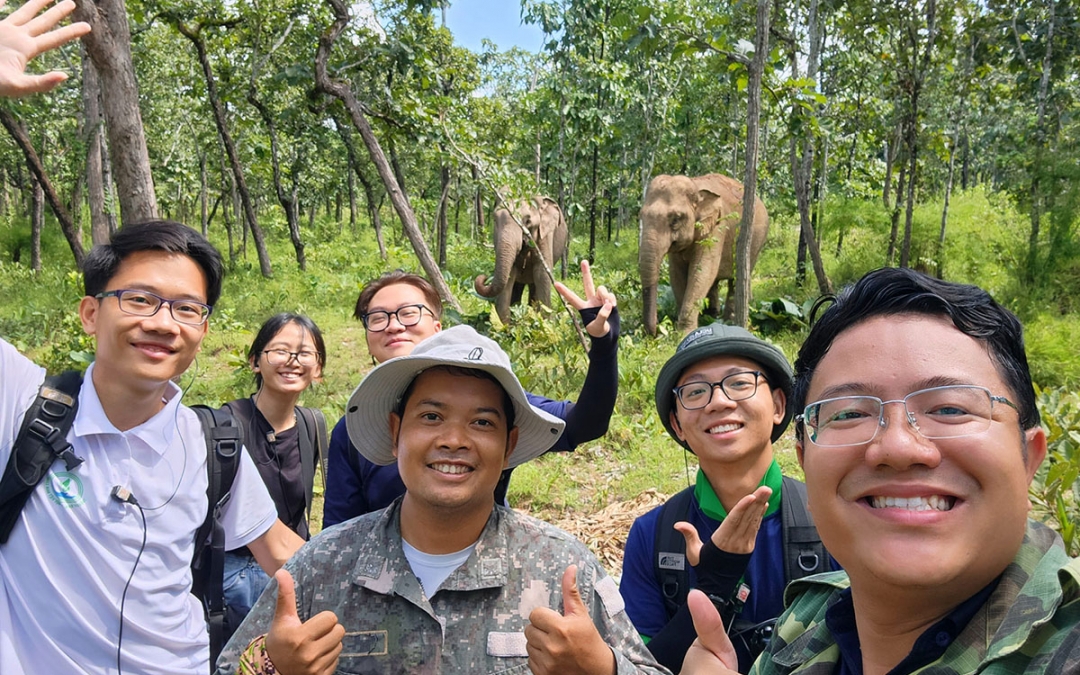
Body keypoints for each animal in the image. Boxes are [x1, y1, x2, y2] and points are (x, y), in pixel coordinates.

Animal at [475, 194, 570, 324]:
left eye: (528, 221)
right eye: (495, 219)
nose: (483, 278)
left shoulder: (544, 237)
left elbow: (542, 274)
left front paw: (545, 323)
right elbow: (510, 274)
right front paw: (503, 326)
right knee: (518, 286)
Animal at [635, 170, 773, 334]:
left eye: (675, 219)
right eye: (641, 216)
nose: (654, 332)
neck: (695, 185)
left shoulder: (717, 227)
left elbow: (702, 270)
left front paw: (683, 332)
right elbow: (676, 274)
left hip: (756, 241)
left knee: (736, 278)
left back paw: (729, 321)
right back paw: (712, 316)